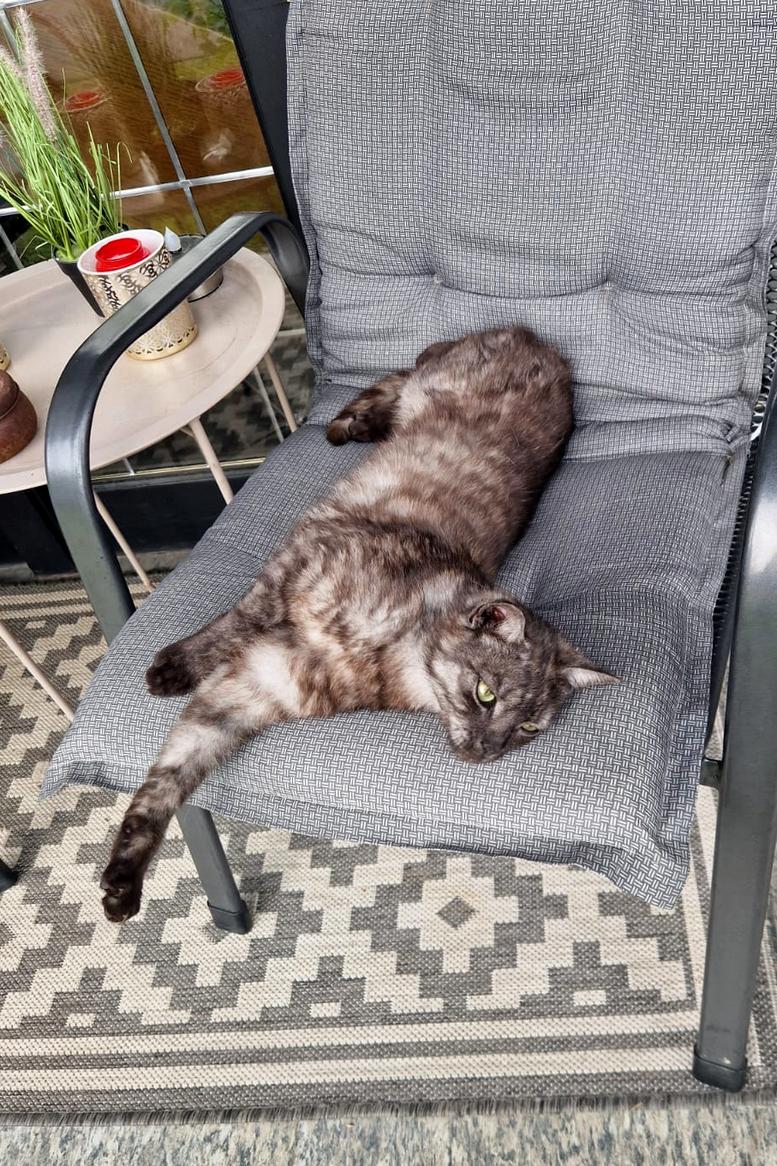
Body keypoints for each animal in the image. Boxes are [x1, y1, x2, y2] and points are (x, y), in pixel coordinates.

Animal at [100, 325, 617, 923]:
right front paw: (173, 668)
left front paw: (123, 880)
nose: (488, 750)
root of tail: (536, 339)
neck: (391, 655)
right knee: (405, 372)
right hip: (432, 382)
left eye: (530, 729)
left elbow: (170, 777)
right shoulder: (293, 571)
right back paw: (347, 425)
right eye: (486, 693)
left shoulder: (252, 689)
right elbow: (236, 622)